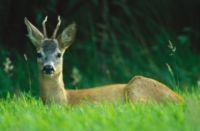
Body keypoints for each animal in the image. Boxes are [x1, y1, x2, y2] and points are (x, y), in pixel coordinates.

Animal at [24, 16, 184, 104]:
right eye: (38, 54)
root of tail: (179, 99)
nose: (48, 67)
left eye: (59, 54)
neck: (65, 100)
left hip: (136, 88)